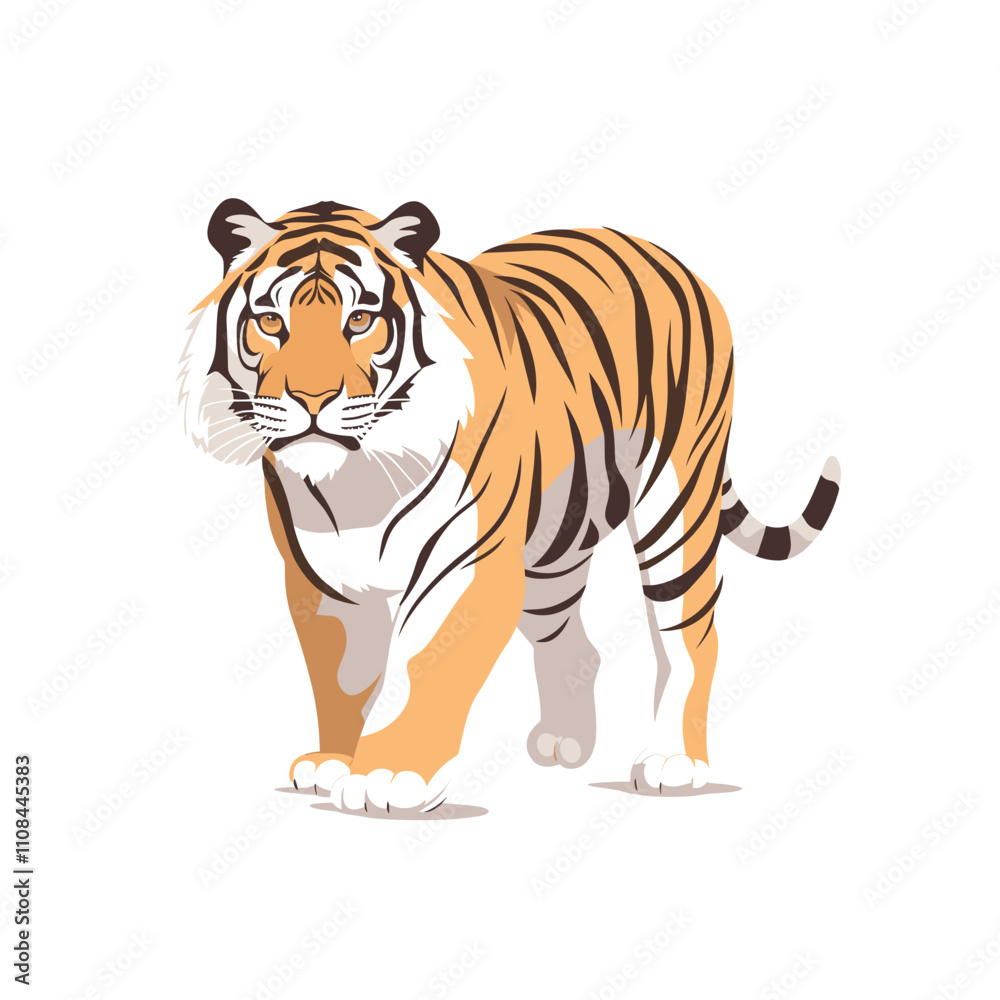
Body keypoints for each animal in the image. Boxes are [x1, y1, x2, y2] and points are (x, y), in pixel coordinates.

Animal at [179, 197, 840, 816]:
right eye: (271, 321)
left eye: (360, 320)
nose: (311, 398)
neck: (356, 481)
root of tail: (666, 255)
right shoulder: (322, 577)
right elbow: (341, 676)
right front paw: (333, 762)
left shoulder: (463, 560)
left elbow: (425, 662)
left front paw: (387, 775)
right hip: (551, 552)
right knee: (576, 645)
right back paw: (565, 742)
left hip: (676, 503)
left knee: (689, 634)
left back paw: (673, 762)